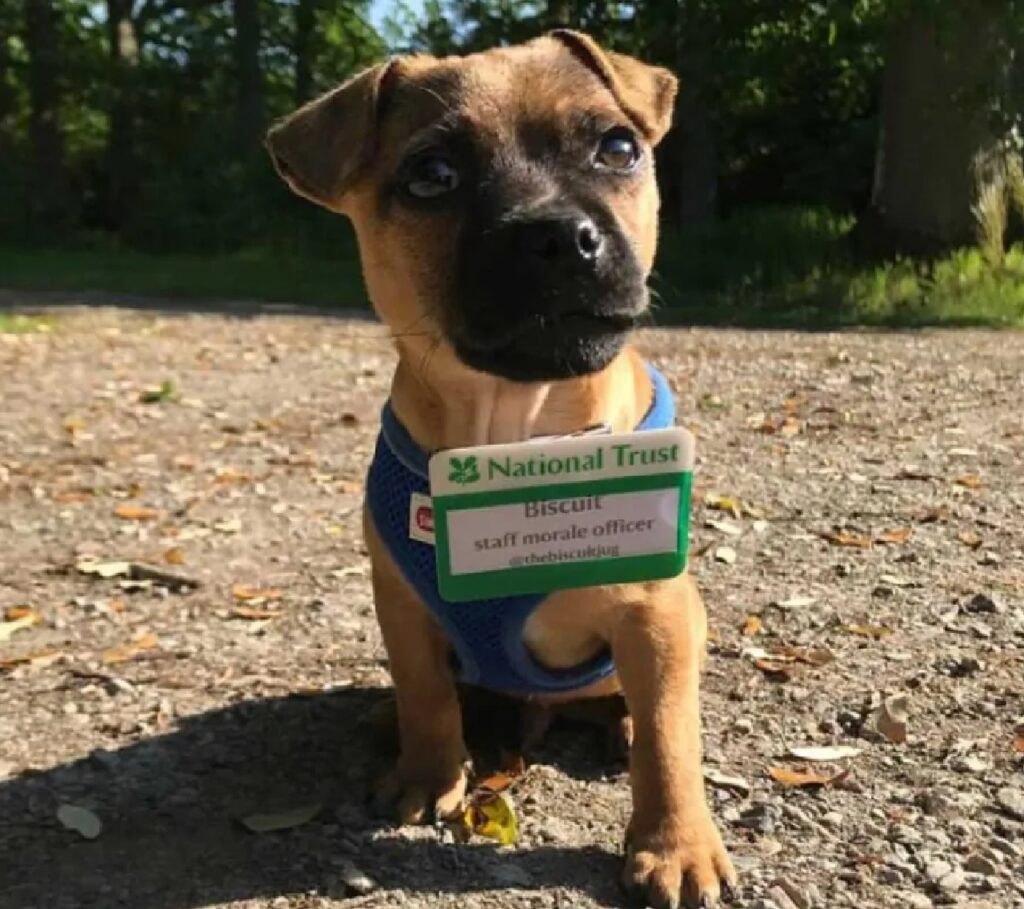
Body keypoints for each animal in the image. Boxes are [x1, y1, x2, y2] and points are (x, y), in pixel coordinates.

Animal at [266, 30, 737, 909]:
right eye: (432, 176)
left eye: (617, 147)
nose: (555, 233)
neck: (519, 436)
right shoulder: (403, 600)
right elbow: (423, 691)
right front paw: (427, 774)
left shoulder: (655, 612)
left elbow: (669, 736)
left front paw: (675, 846)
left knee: (643, 707)